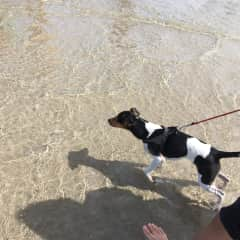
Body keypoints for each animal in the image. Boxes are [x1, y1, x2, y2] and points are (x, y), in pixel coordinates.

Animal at [109, 108, 240, 209]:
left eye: (118, 118)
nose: (108, 120)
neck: (149, 132)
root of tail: (216, 152)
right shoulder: (160, 157)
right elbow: (158, 164)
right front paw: (157, 171)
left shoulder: (156, 157)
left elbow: (146, 171)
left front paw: (152, 180)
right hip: (209, 174)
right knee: (226, 178)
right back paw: (223, 185)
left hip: (204, 182)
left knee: (221, 194)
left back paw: (216, 207)